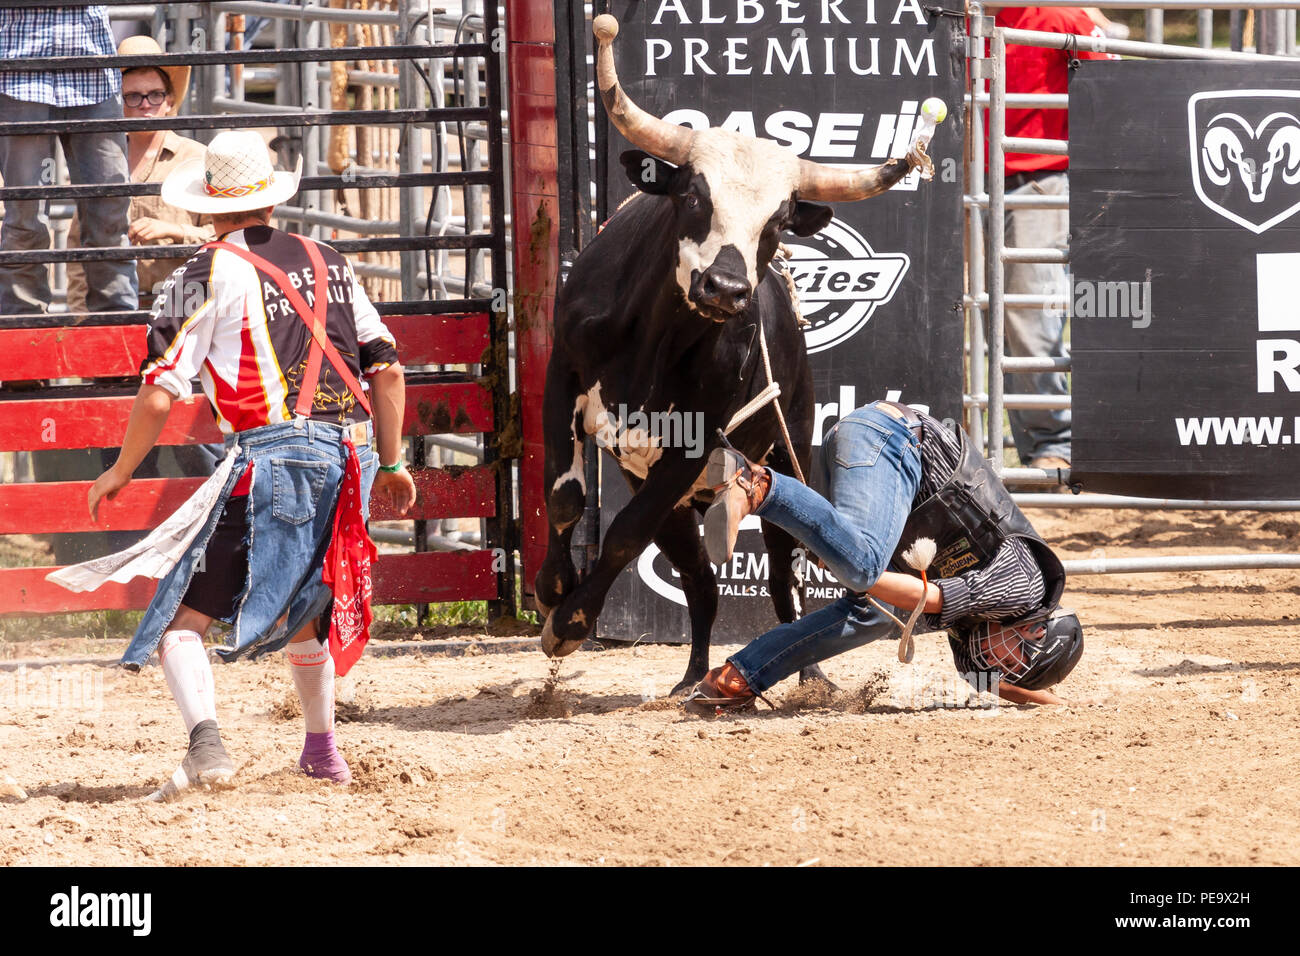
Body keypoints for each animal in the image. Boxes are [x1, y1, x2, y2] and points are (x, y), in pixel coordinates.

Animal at [535, 11, 935, 691]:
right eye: (695, 195)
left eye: (776, 221)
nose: (724, 288)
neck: (651, 344)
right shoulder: (562, 380)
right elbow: (567, 497)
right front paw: (554, 586)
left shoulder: (692, 444)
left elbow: (623, 534)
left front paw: (571, 622)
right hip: (671, 494)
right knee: (699, 578)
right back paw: (692, 675)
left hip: (782, 459)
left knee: (779, 578)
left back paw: (807, 675)